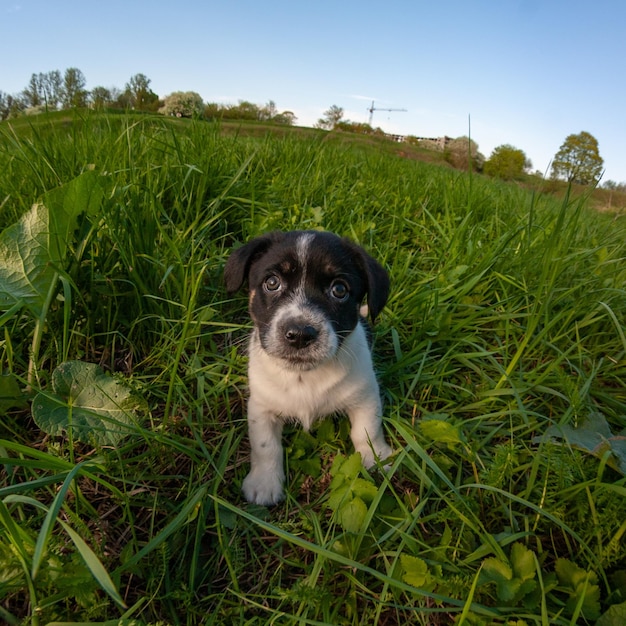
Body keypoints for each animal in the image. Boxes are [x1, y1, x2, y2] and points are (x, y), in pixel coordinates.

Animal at [223, 228, 390, 502]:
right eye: (272, 282)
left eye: (339, 289)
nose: (300, 334)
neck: (304, 376)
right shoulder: (261, 406)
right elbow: (265, 445)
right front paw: (264, 483)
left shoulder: (365, 396)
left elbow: (367, 430)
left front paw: (376, 459)